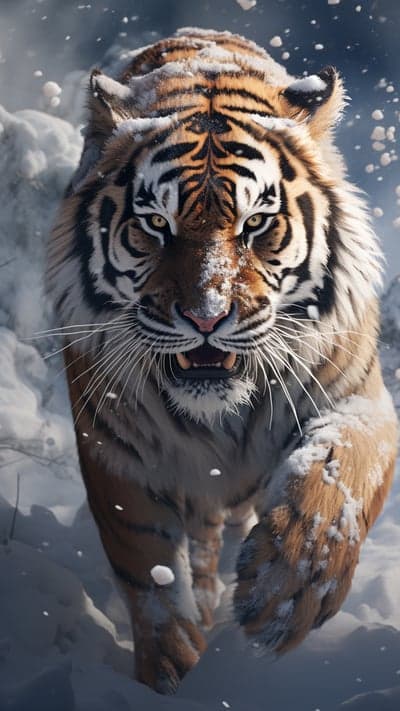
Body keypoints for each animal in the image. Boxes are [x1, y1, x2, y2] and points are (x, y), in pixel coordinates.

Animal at [47, 28, 398, 694]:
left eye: (256, 223)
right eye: (155, 224)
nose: (206, 317)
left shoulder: (357, 395)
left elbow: (338, 471)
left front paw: (283, 596)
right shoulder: (114, 446)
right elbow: (150, 574)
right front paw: (172, 678)